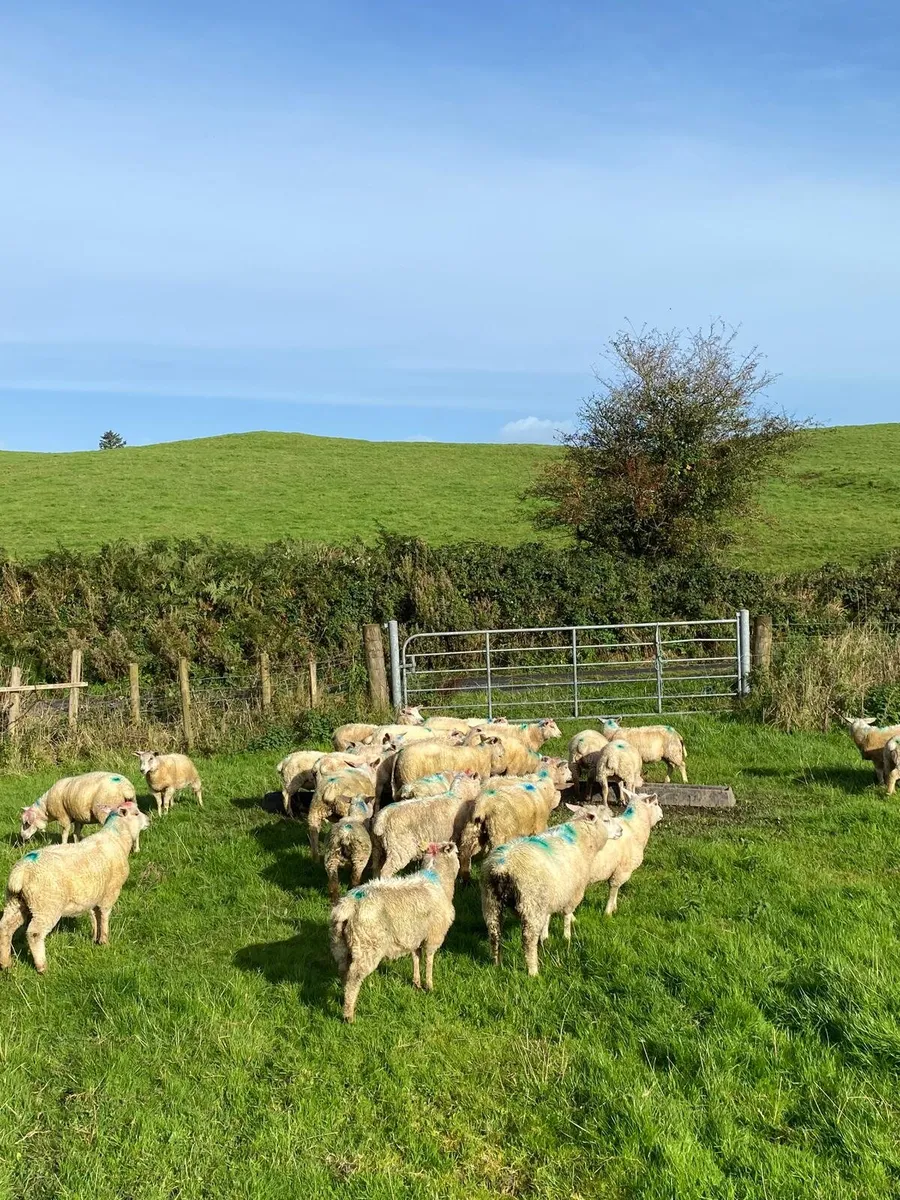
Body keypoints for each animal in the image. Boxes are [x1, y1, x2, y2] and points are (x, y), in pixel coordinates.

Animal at [0, 805, 150, 973]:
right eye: (136, 813)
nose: (149, 820)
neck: (116, 837)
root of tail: (22, 871)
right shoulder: (110, 891)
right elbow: (104, 914)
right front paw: (104, 941)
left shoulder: (94, 894)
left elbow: (95, 915)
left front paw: (95, 938)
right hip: (46, 905)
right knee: (34, 934)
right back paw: (42, 967)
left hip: (16, 901)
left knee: (5, 927)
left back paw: (5, 963)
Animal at [330, 841, 459, 1022]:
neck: (438, 879)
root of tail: (348, 906)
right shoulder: (433, 936)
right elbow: (429, 959)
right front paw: (429, 986)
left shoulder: (414, 936)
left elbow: (416, 957)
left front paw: (416, 983)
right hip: (367, 946)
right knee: (354, 976)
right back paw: (348, 1015)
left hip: (339, 944)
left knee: (344, 971)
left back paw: (344, 998)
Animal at [480, 805, 621, 976]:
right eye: (606, 820)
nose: (621, 831)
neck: (581, 839)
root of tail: (502, 866)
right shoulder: (573, 892)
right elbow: (567, 915)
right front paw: (566, 937)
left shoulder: (551, 895)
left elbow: (548, 916)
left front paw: (545, 936)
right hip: (531, 904)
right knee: (528, 939)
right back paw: (533, 971)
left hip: (490, 900)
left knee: (494, 933)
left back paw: (496, 964)